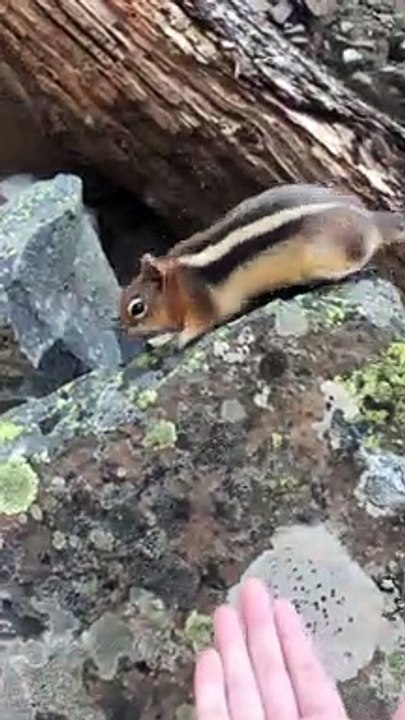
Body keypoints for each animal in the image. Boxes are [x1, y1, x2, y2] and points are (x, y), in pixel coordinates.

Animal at [119, 183, 405, 348]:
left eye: (137, 308)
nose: (125, 331)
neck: (176, 283)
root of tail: (370, 221)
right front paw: (162, 338)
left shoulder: (202, 302)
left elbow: (201, 324)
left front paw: (178, 339)